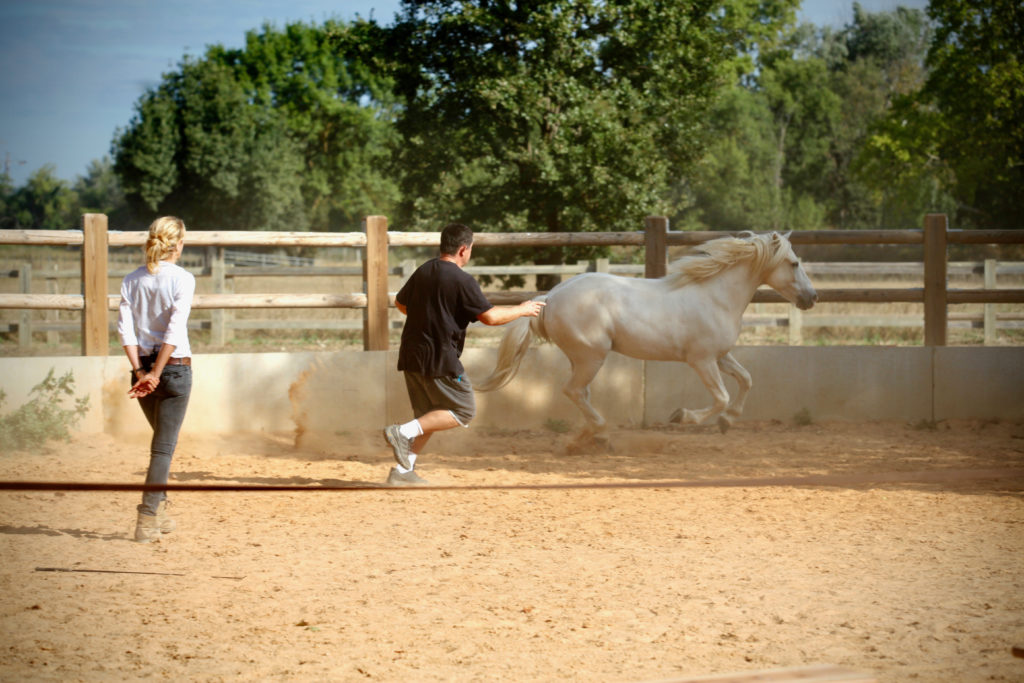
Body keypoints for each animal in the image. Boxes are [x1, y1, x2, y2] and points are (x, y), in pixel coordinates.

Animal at [475, 231, 819, 444]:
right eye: (794, 263)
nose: (812, 297)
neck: (716, 296)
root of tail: (550, 297)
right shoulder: (702, 360)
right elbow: (720, 396)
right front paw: (682, 417)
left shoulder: (721, 356)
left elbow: (746, 380)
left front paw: (728, 421)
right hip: (592, 356)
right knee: (573, 391)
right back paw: (601, 434)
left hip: (583, 358)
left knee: (581, 393)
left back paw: (591, 437)